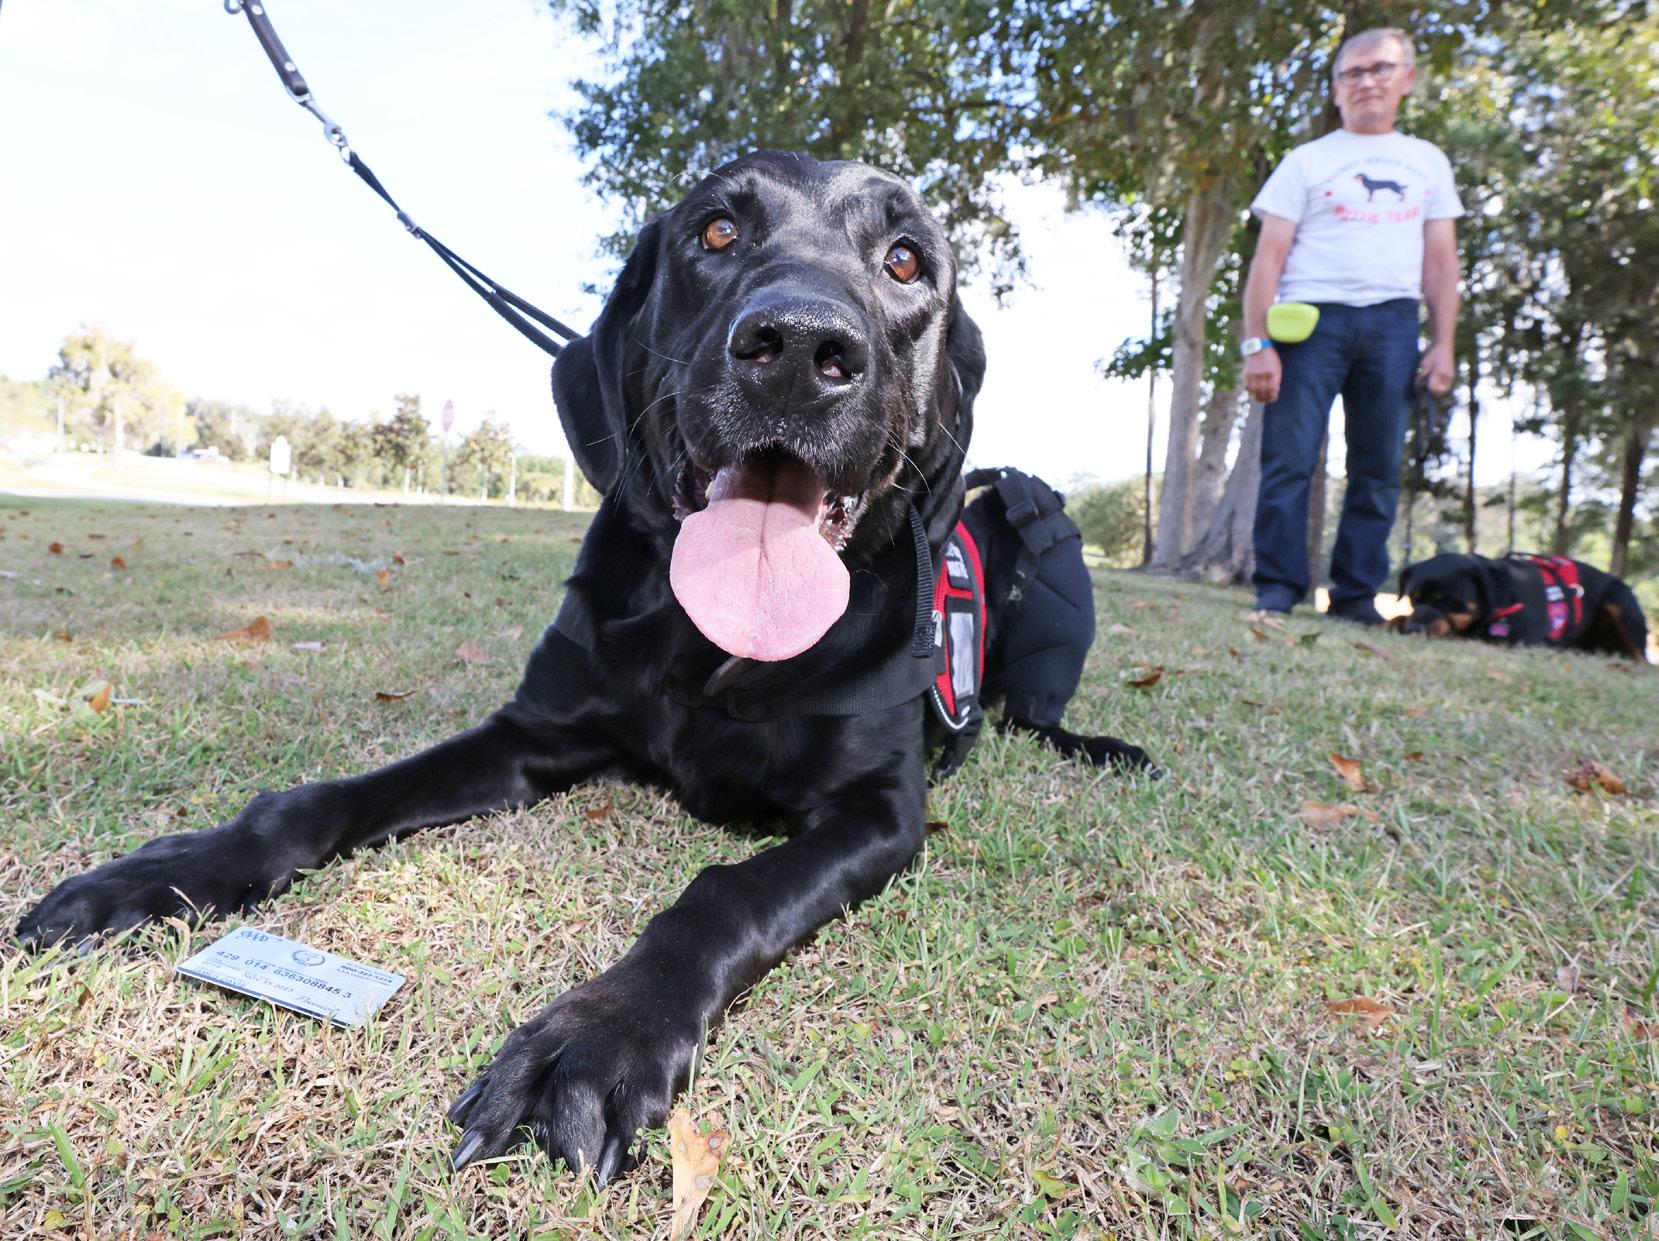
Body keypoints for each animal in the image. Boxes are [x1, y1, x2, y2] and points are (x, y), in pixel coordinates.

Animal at [17, 152, 1152, 1183]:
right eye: (716, 232)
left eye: (906, 259)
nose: (797, 348)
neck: (712, 652)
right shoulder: (533, 731)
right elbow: (320, 797)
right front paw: (166, 871)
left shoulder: (879, 810)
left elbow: (725, 889)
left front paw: (600, 1033)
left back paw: (1108, 745)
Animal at [1392, 551, 1649, 661]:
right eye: (1413, 599)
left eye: (1448, 601)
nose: (1414, 629)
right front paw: (1395, 621)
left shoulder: (1521, 641)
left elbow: (1468, 636)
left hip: (1621, 603)